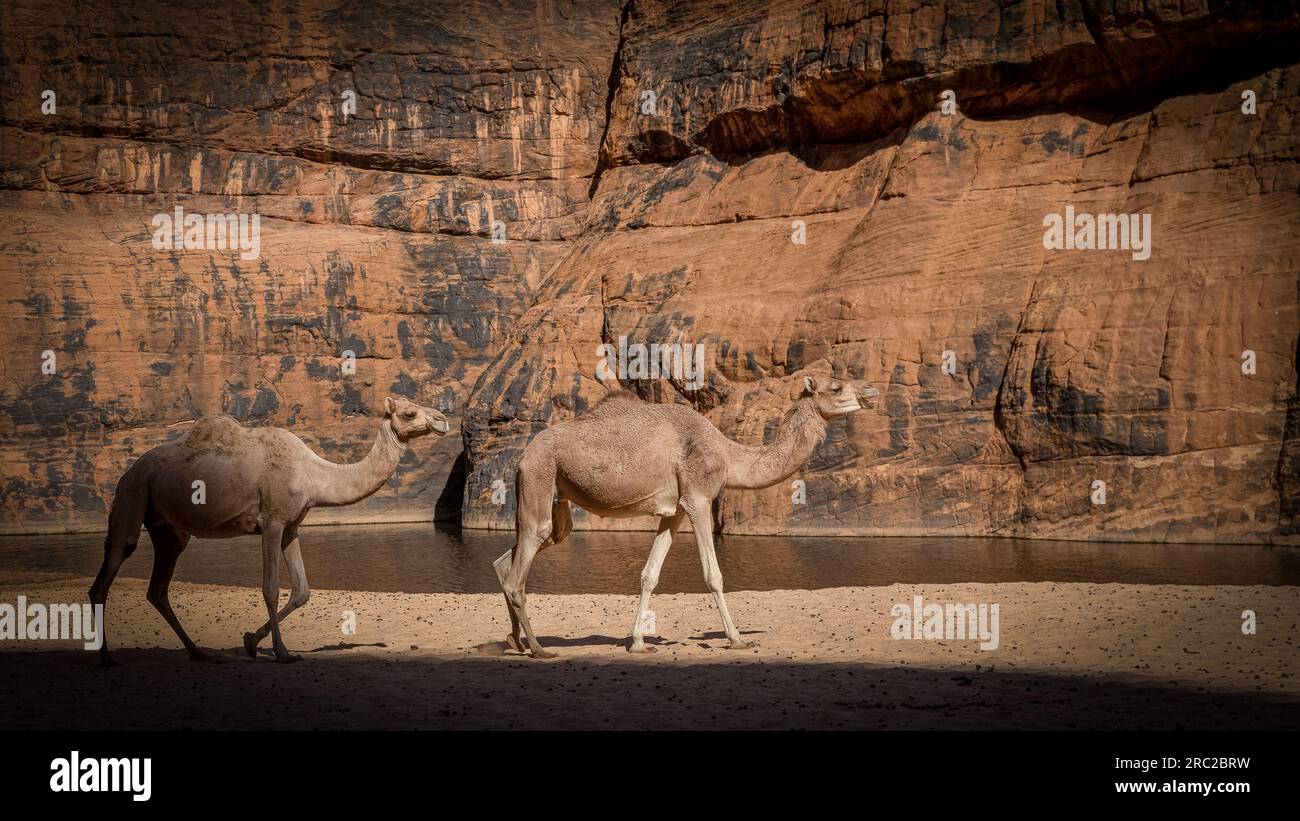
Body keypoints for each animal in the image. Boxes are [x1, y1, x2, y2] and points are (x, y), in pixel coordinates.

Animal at [89, 394, 447, 665]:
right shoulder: (271, 522)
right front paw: (282, 652)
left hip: (167, 528)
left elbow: (302, 590)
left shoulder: (292, 526)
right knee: (113, 564)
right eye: (409, 412)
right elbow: (270, 588)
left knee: (158, 589)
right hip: (134, 495)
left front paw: (250, 641)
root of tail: (127, 474)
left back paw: (198, 652)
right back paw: (106, 657)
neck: (313, 474)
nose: (442, 419)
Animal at [491, 368, 878, 657]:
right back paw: (539, 649)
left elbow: (649, 575)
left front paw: (639, 643)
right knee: (520, 569)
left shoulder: (673, 512)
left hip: (557, 499)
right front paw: (737, 639)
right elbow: (713, 575)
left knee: (512, 557)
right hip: (541, 475)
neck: (728, 455)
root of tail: (524, 454)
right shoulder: (698, 499)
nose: (872, 389)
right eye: (836, 386)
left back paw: (514, 641)